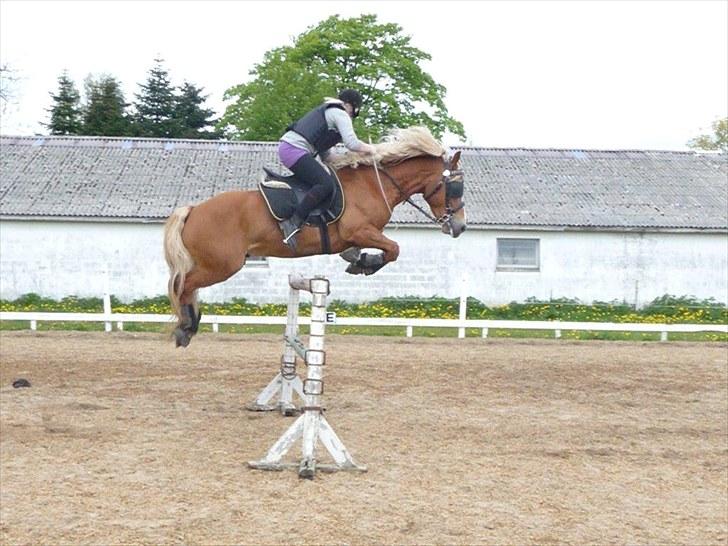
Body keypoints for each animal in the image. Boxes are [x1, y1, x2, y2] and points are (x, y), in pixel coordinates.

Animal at [164, 125, 466, 344]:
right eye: (455, 188)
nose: (460, 227)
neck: (373, 185)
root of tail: (192, 210)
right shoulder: (360, 230)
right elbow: (393, 249)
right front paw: (366, 264)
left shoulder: (359, 236)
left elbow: (371, 250)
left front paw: (358, 260)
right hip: (223, 265)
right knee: (183, 285)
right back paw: (186, 326)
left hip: (214, 264)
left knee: (187, 287)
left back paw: (190, 324)